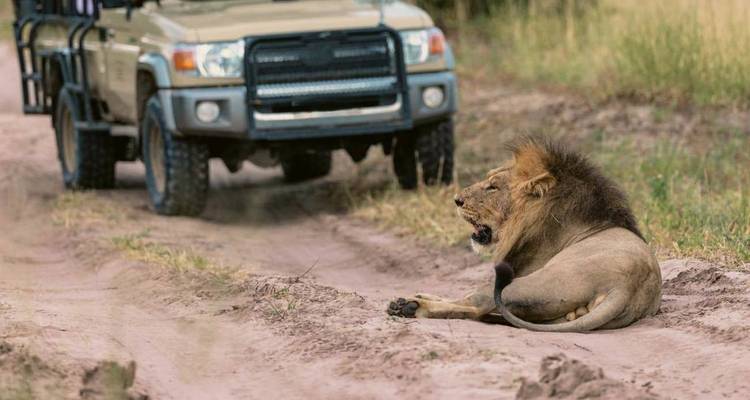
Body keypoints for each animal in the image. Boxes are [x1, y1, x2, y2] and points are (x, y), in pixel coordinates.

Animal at [388, 136, 662, 332]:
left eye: (493, 187)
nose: (457, 200)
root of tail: (626, 288)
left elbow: (468, 297)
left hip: (529, 283)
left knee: (476, 303)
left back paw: (410, 306)